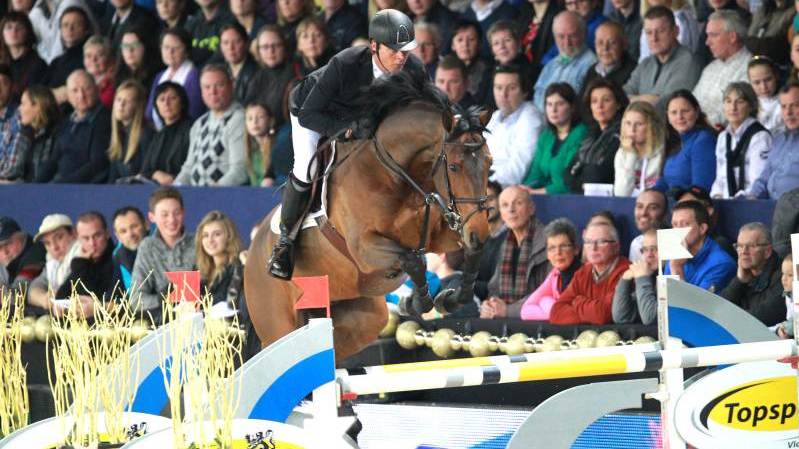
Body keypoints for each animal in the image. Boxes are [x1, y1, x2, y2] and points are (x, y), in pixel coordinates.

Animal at [244, 72, 494, 360]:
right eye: (453, 167)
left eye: (489, 162)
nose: (479, 231)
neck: (395, 174)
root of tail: (251, 252)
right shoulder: (364, 248)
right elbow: (413, 260)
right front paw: (415, 301)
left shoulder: (443, 233)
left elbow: (470, 253)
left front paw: (450, 299)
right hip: (277, 326)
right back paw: (280, 259)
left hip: (361, 318)